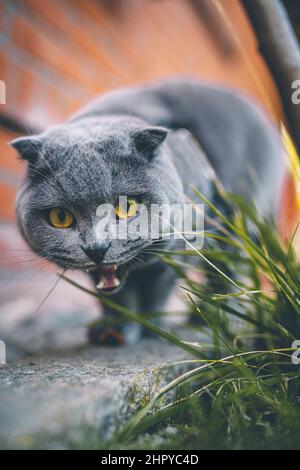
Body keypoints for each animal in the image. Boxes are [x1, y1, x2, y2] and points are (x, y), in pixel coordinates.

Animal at [11, 79, 284, 346]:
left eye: (126, 206)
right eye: (60, 217)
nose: (96, 248)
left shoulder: (179, 250)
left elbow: (157, 290)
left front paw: (153, 326)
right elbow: (112, 295)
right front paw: (114, 329)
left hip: (238, 221)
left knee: (226, 270)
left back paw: (210, 315)